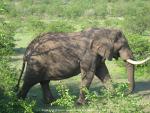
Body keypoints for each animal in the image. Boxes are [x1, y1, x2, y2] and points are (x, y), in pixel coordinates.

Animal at [15, 27, 149, 104]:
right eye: (122, 45)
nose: (125, 93)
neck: (102, 31)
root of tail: (28, 49)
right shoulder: (88, 54)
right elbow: (89, 74)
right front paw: (80, 104)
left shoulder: (97, 55)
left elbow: (103, 73)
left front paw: (114, 95)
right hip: (36, 63)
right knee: (29, 81)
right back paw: (20, 102)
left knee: (44, 82)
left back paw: (52, 102)